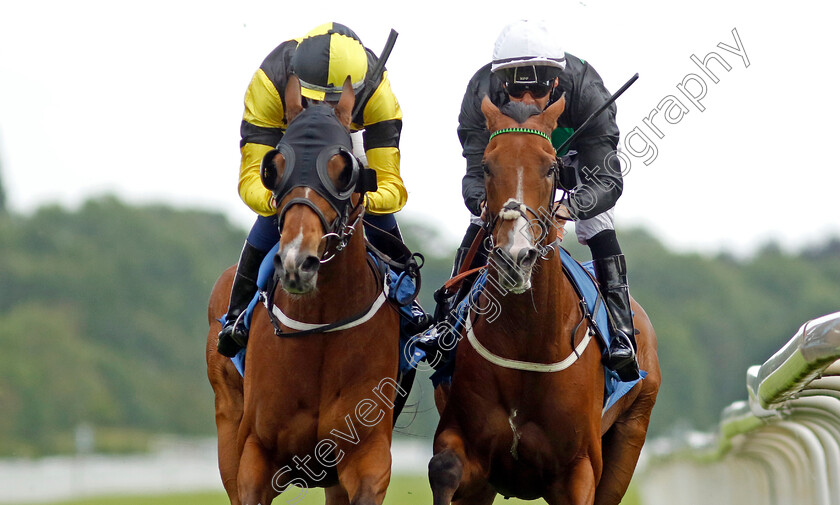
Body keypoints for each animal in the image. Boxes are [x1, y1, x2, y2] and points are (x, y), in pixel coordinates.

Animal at [208, 76, 406, 504]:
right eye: (276, 166)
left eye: (344, 169)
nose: (298, 262)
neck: (321, 326)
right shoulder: (254, 457)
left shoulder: (367, 454)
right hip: (226, 421)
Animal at [430, 95, 660, 504]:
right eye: (486, 166)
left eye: (551, 167)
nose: (515, 257)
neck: (527, 342)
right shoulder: (466, 448)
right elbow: (444, 468)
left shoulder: (578, 471)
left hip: (632, 433)